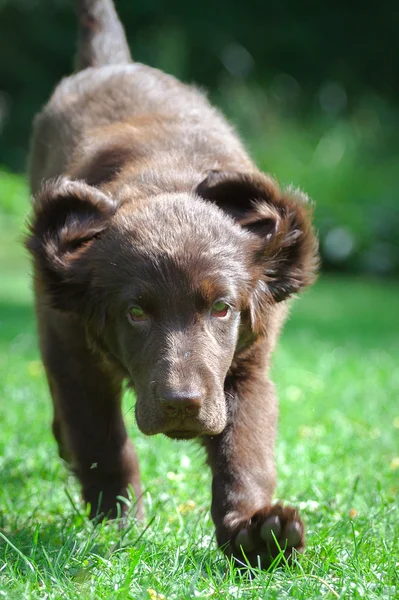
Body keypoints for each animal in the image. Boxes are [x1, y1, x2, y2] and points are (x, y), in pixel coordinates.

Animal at [25, 0, 318, 568]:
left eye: (222, 308)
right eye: (136, 313)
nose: (182, 403)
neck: (165, 176)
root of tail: (113, 64)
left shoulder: (247, 364)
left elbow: (245, 450)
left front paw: (257, 533)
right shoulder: (72, 351)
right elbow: (102, 442)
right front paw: (118, 527)